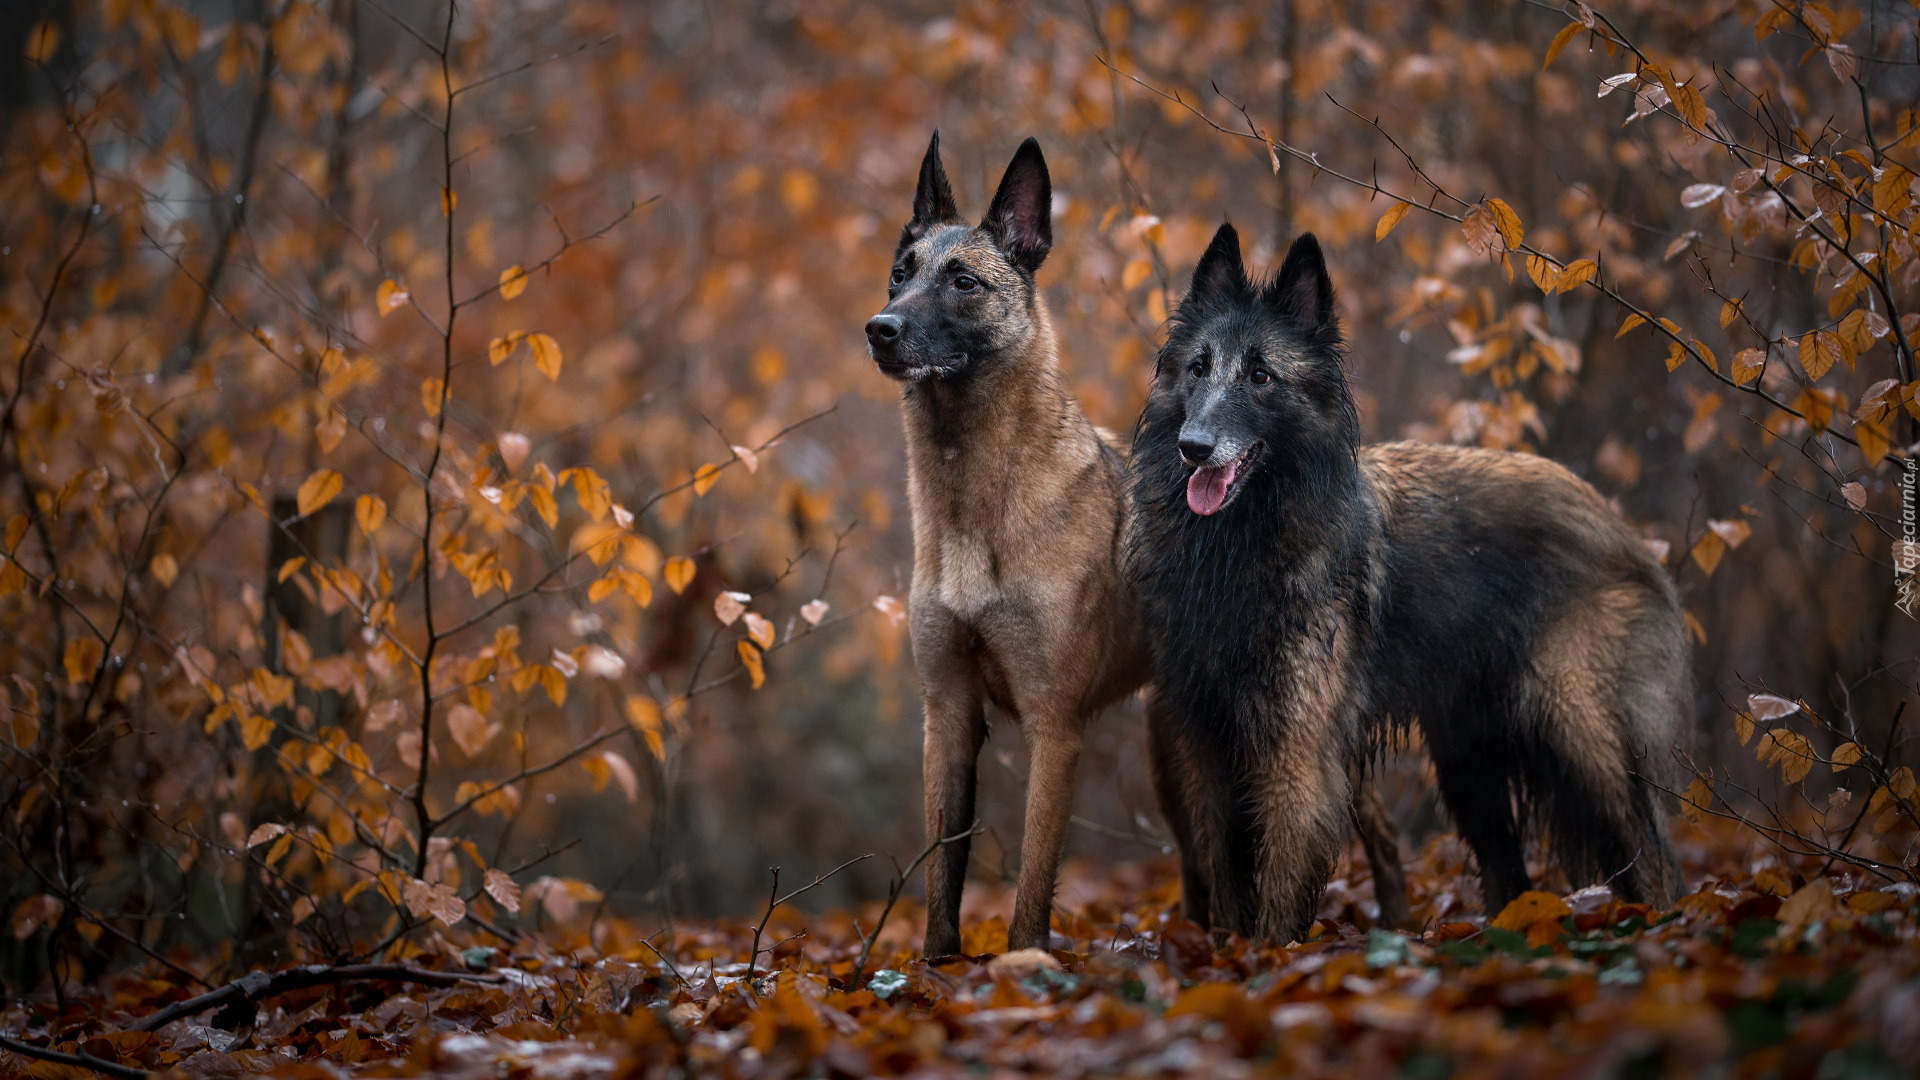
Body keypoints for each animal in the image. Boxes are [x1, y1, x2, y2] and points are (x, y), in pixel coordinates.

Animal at [1128, 222, 1689, 937]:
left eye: (1261, 376)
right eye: (1198, 368)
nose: (1194, 447)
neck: (1241, 546)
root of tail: (1619, 525)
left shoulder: (1297, 752)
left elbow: (1279, 889)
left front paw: (1268, 956)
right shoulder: (1201, 742)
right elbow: (1225, 878)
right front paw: (1225, 952)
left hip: (1585, 741)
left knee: (1651, 854)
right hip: (1469, 763)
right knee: (1509, 873)